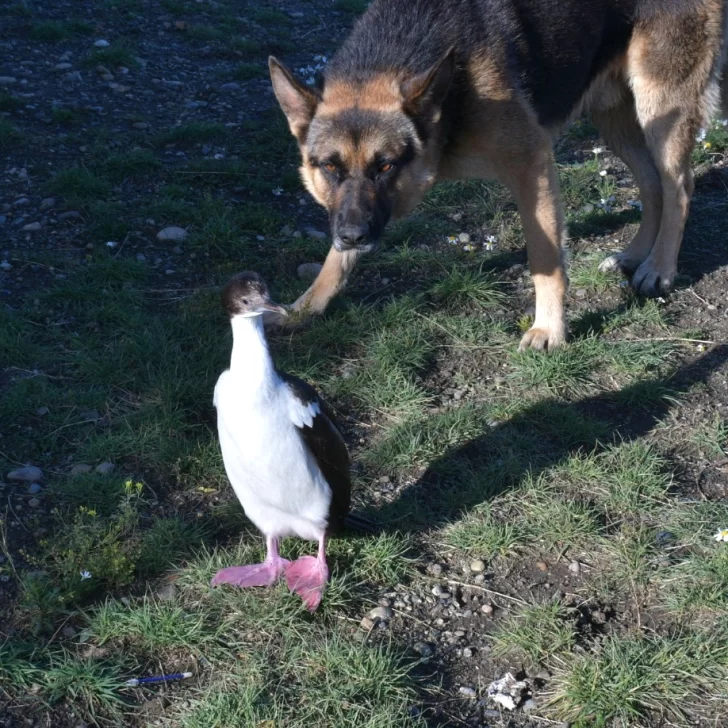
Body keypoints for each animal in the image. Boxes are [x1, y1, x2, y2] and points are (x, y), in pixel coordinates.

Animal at [268, 0, 728, 352]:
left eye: (386, 166)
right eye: (330, 167)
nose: (353, 236)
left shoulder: (531, 166)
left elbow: (545, 259)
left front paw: (549, 329)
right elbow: (334, 260)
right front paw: (306, 306)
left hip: (659, 110)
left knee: (678, 187)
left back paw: (659, 267)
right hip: (612, 116)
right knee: (651, 185)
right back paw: (635, 255)